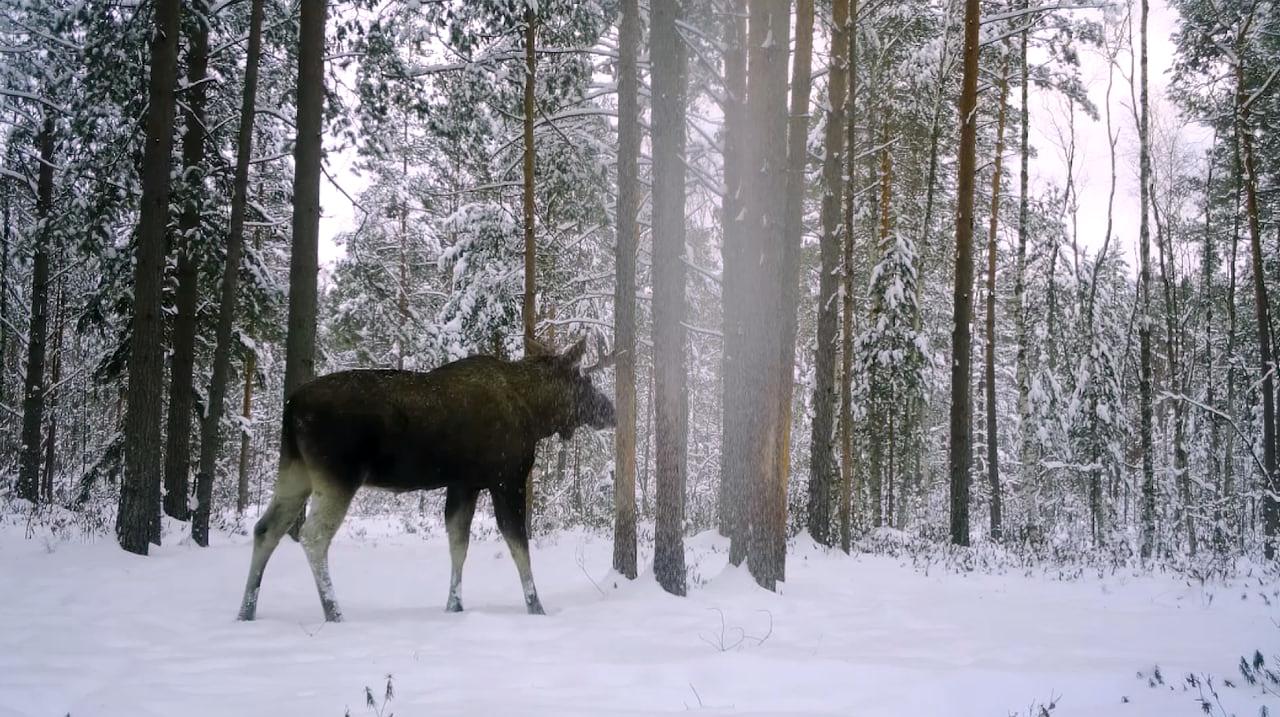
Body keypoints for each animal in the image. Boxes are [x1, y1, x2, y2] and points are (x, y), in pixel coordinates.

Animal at [241, 335, 622, 622]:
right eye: (585, 380)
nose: (611, 411)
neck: (537, 414)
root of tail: (291, 406)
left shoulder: (464, 483)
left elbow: (458, 543)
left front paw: (454, 605)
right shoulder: (506, 476)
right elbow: (518, 545)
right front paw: (536, 607)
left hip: (295, 470)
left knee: (265, 528)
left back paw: (247, 610)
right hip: (338, 474)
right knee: (313, 535)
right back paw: (333, 612)